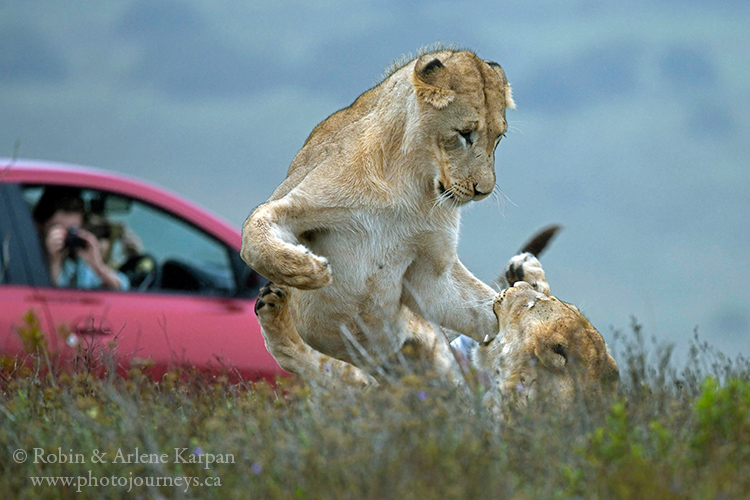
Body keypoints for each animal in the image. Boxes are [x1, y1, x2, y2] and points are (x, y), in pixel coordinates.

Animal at [244, 47, 516, 386]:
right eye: (465, 134)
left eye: (499, 138)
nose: (483, 191)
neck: (408, 182)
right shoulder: (293, 202)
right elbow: (253, 238)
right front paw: (309, 271)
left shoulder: (430, 269)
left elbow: (479, 306)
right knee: (301, 359)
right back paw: (273, 304)